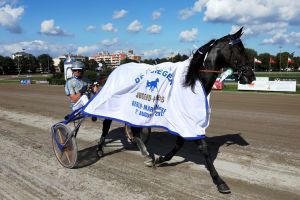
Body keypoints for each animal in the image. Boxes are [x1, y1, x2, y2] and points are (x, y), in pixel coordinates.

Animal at [96, 27, 255, 194]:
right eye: (240, 49)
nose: (251, 75)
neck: (193, 82)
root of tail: (113, 71)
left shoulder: (184, 120)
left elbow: (179, 143)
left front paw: (161, 159)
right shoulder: (187, 119)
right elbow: (203, 148)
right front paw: (219, 181)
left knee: (135, 129)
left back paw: (146, 154)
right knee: (106, 124)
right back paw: (100, 148)